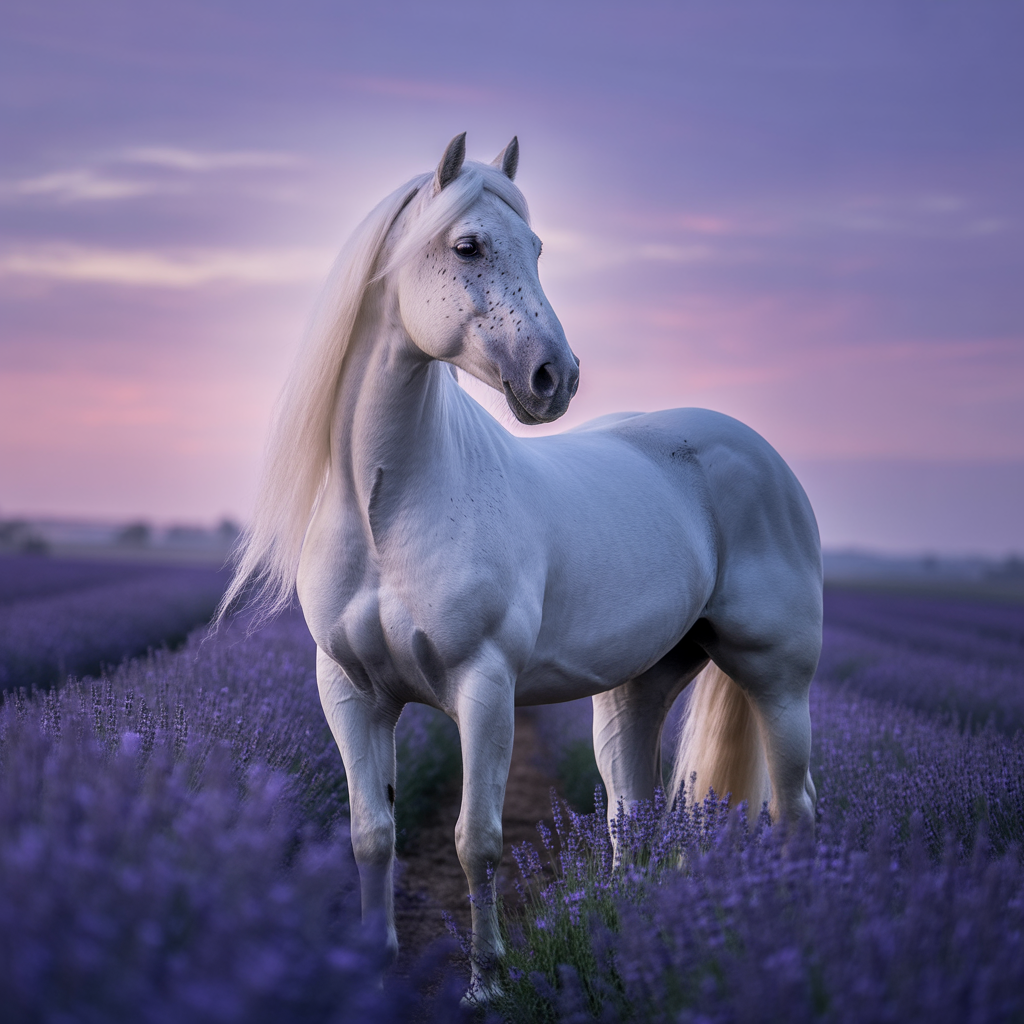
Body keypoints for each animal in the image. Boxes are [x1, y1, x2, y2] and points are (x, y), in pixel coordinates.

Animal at [221, 133, 822, 1000]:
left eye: (537, 248)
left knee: (794, 806)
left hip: (777, 676)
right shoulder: (349, 692)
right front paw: (371, 965)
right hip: (637, 689)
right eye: (467, 245)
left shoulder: (485, 687)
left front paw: (487, 982)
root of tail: (759, 454)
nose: (554, 377)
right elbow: (372, 832)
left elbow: (478, 838)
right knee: (632, 818)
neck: (386, 512)